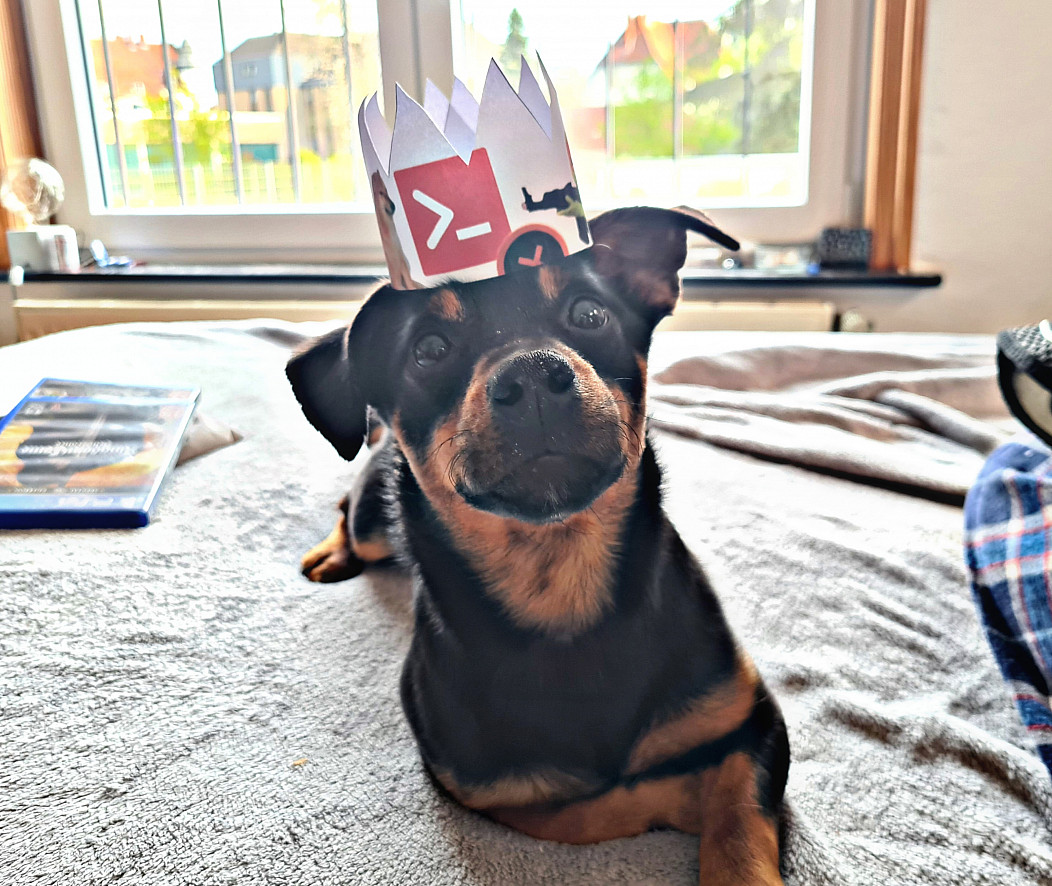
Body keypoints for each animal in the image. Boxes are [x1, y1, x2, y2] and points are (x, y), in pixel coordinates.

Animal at [286, 206, 790, 885]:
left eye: (590, 314)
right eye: (429, 350)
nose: (529, 373)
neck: (556, 578)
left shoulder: (752, 717)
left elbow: (738, 825)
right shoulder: (487, 788)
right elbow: (592, 807)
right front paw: (682, 789)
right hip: (372, 522)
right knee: (348, 513)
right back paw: (329, 554)